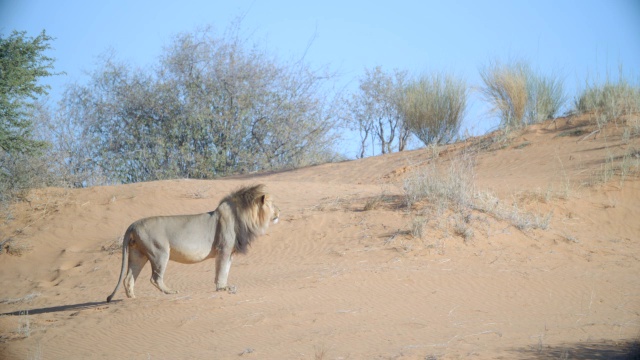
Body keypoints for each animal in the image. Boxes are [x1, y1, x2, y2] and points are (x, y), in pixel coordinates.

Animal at [106, 184, 278, 302]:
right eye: (272, 205)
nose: (279, 212)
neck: (243, 216)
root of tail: (132, 225)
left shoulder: (229, 253)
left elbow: (226, 270)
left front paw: (225, 286)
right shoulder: (223, 249)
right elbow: (221, 270)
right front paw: (222, 288)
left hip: (138, 254)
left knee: (128, 278)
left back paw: (133, 298)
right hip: (159, 253)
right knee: (155, 278)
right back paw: (170, 292)